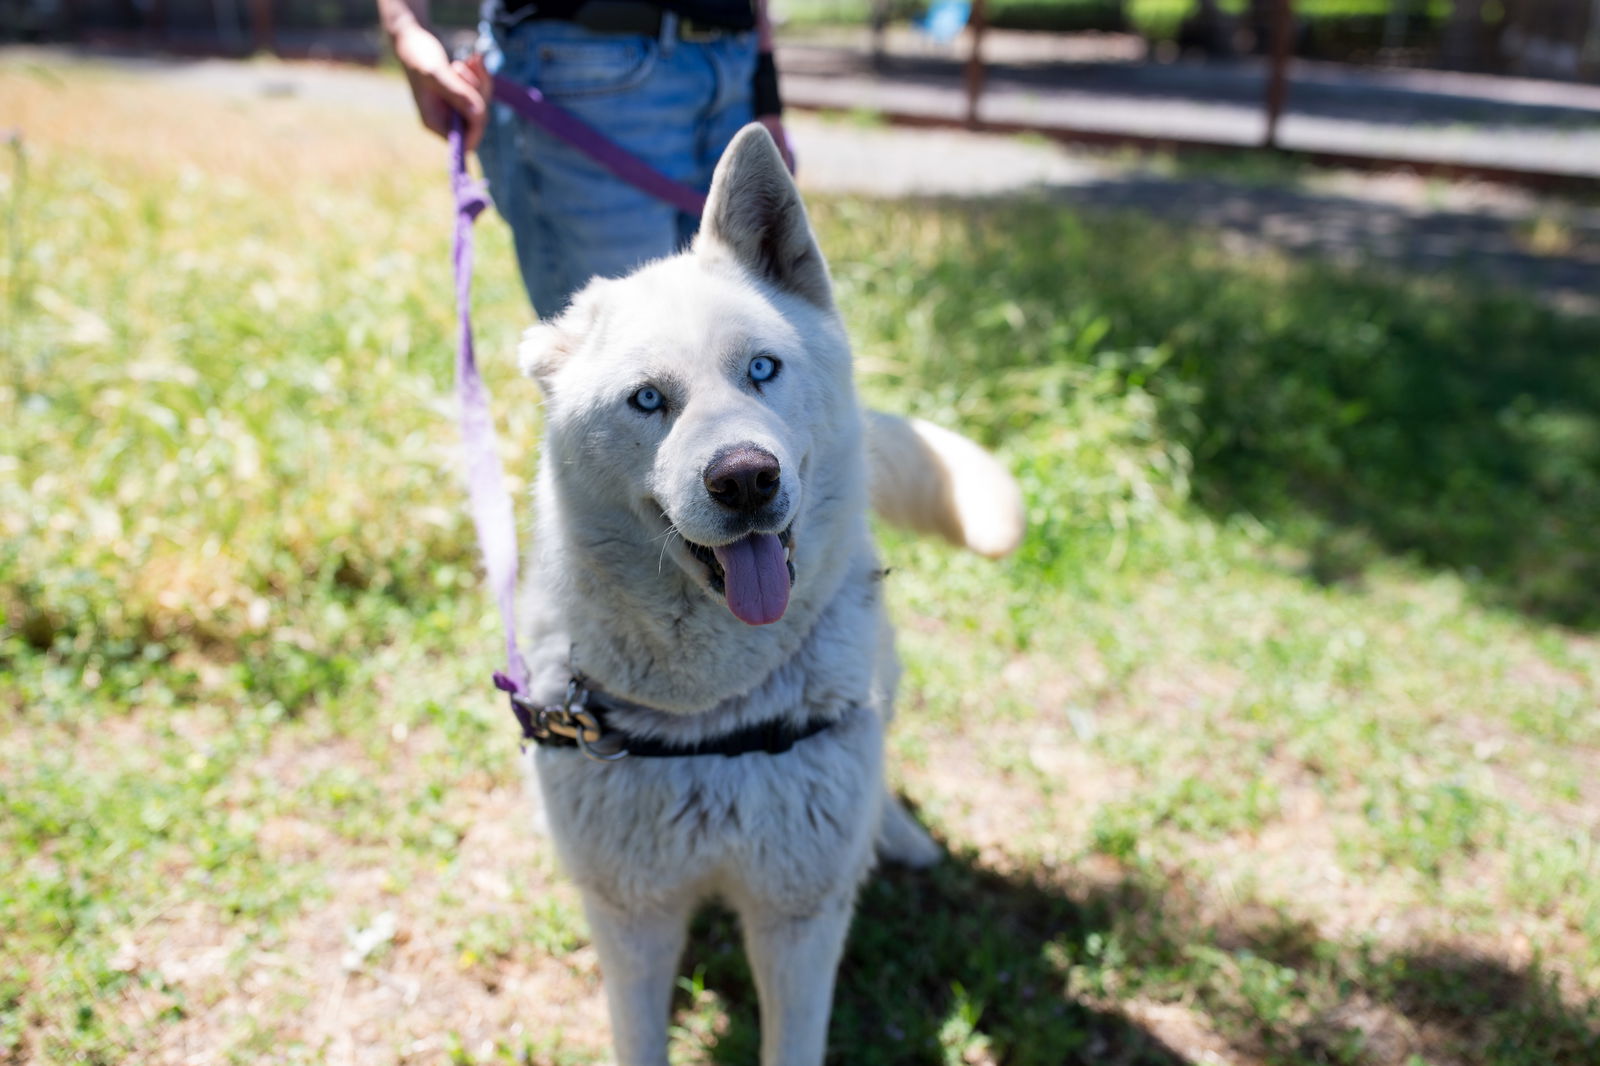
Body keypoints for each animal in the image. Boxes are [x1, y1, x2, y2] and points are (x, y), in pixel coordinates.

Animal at [518, 126, 1030, 1062]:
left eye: (762, 369)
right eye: (649, 400)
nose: (746, 478)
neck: (713, 721)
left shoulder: (799, 920)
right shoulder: (633, 917)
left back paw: (898, 837)